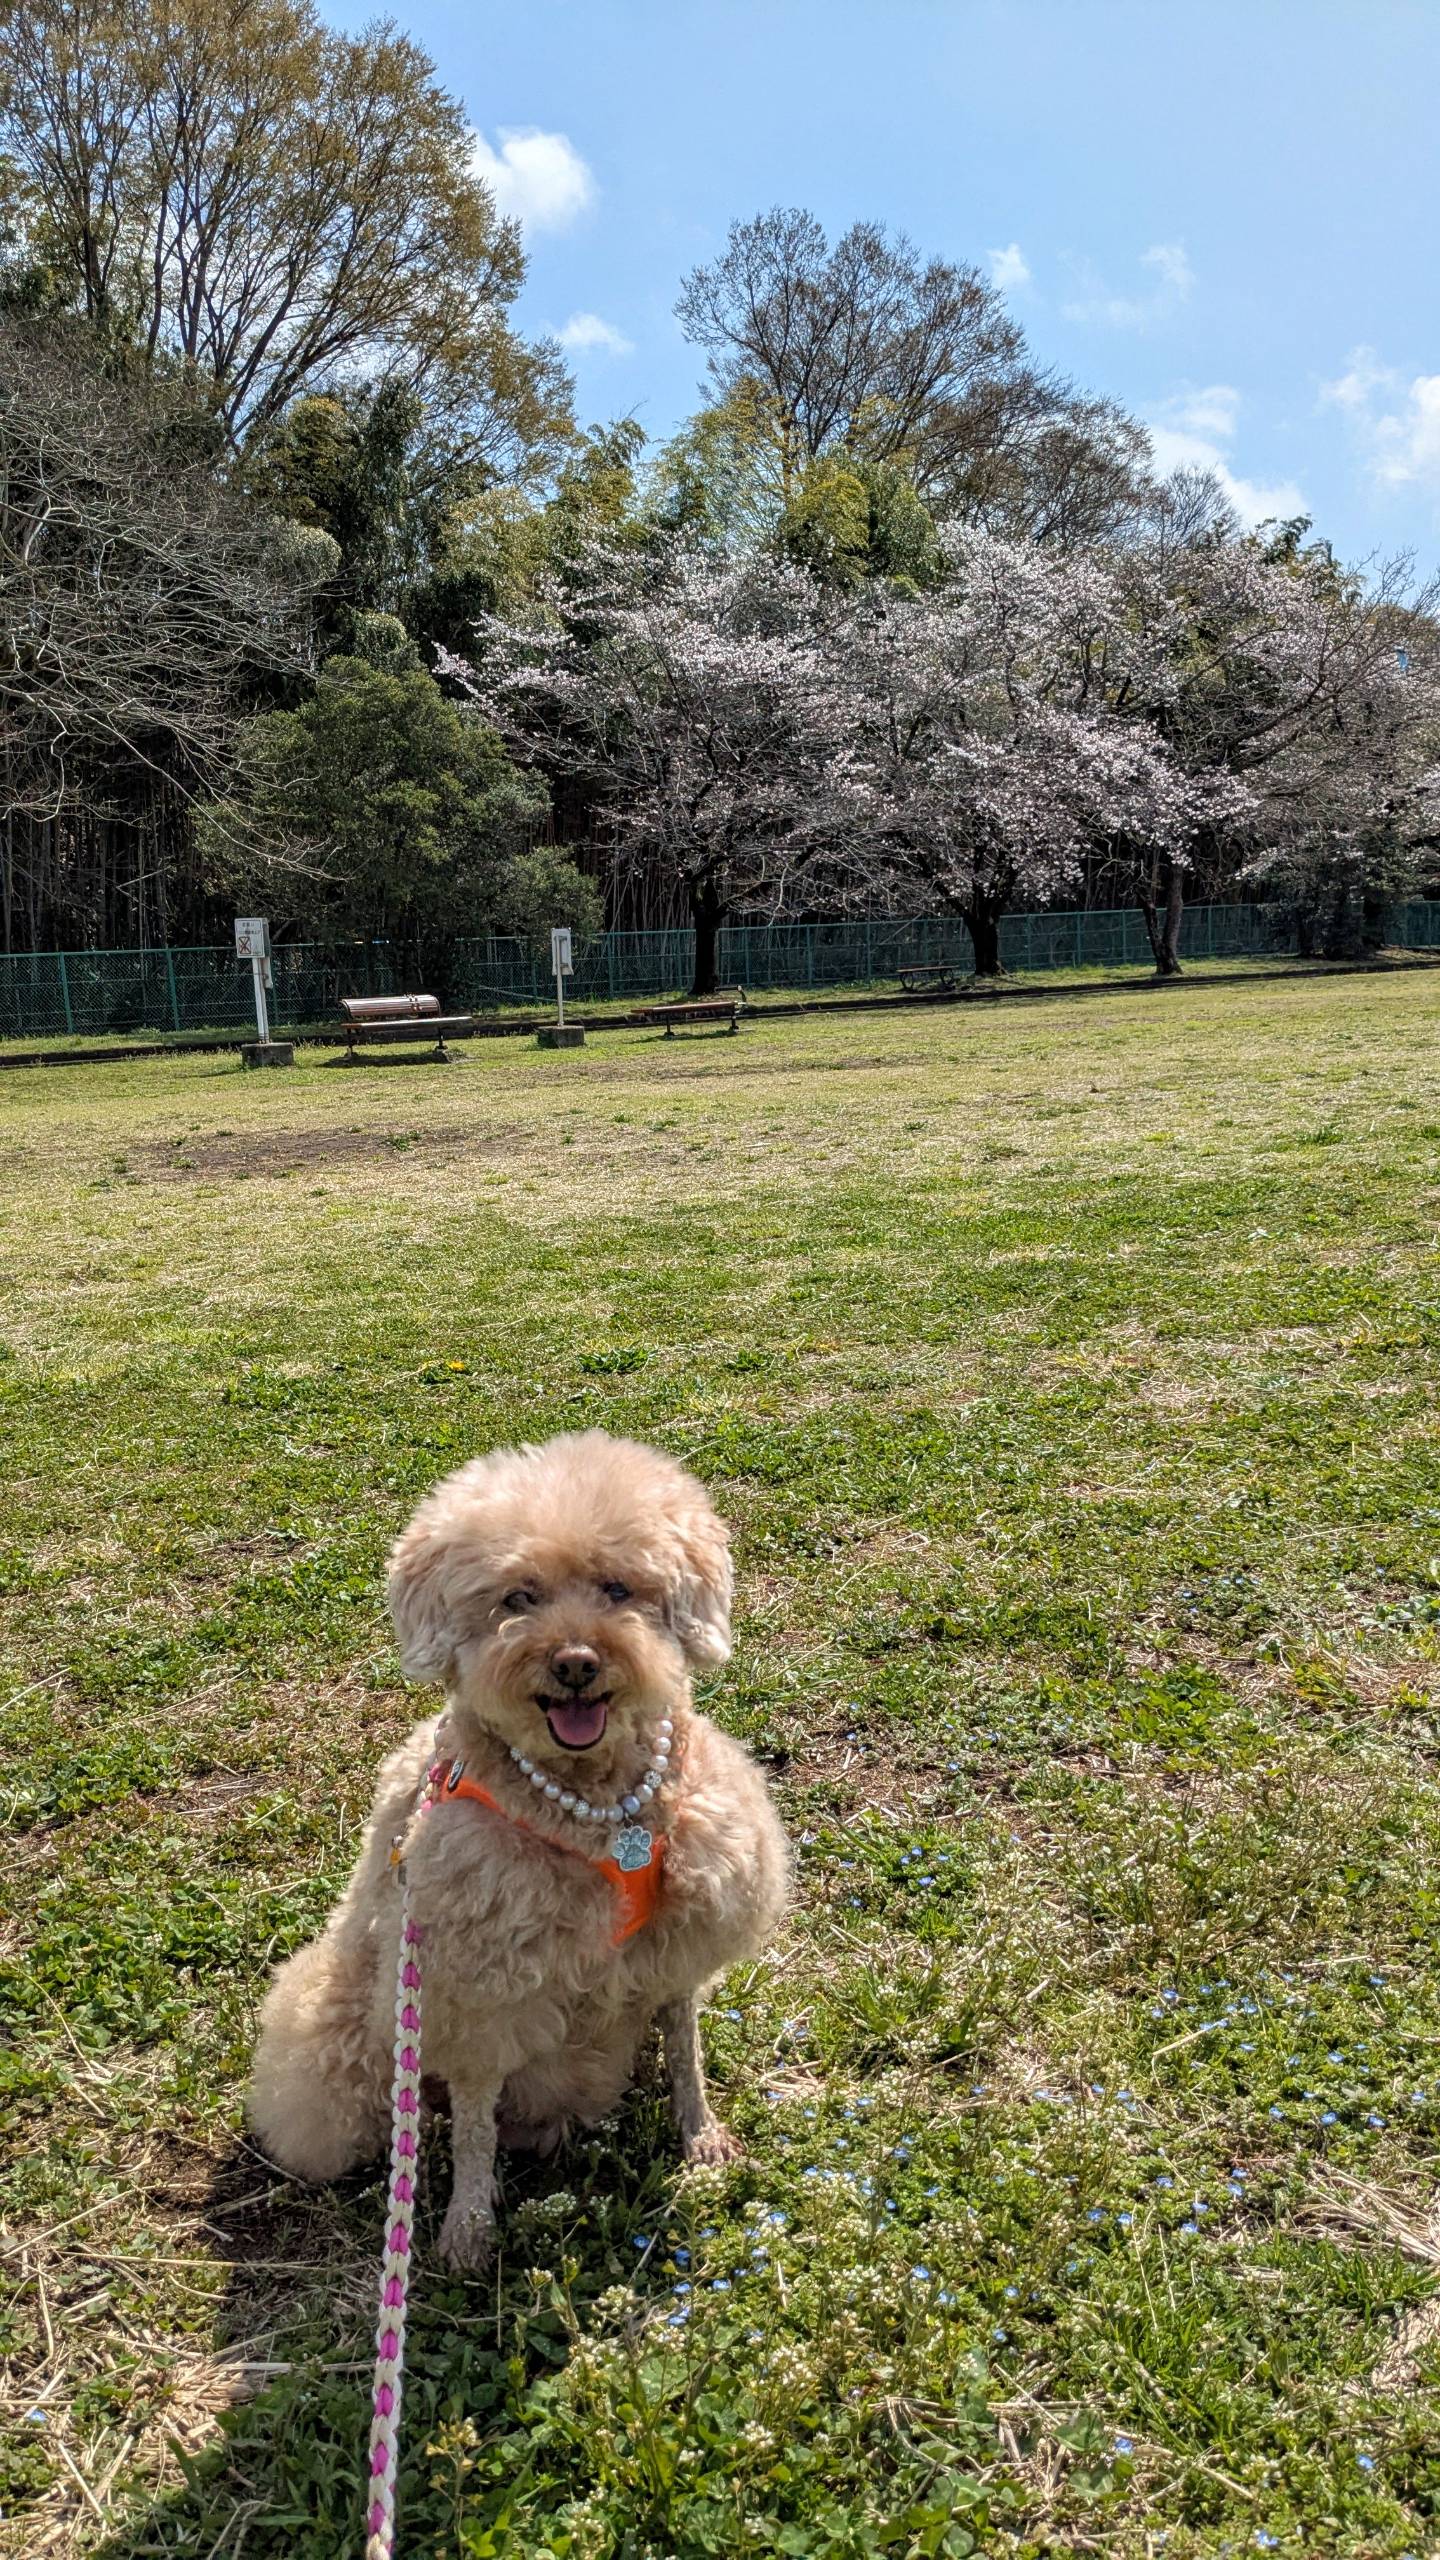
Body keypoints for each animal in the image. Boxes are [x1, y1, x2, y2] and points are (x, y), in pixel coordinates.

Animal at [247, 1431, 789, 2268]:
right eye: (516, 1599)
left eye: (618, 1588)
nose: (574, 1662)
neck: (598, 1806)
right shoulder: (472, 1991)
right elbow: (474, 2124)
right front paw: (468, 2228)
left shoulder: (681, 1939)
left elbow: (684, 2047)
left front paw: (701, 2137)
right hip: (349, 2028)